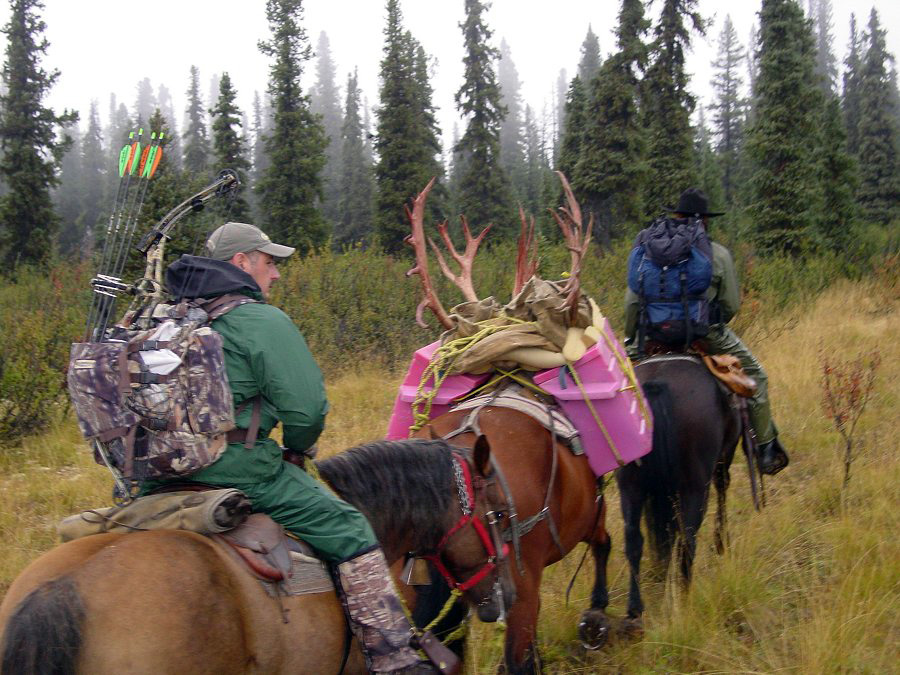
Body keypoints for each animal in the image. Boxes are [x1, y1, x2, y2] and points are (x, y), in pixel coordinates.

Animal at [596, 355, 742, 630]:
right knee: (688, 540)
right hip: (694, 487)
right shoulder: (722, 458)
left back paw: (635, 609)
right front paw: (721, 542)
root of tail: (657, 384)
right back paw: (684, 597)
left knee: (634, 539)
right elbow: (723, 488)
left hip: (630, 487)